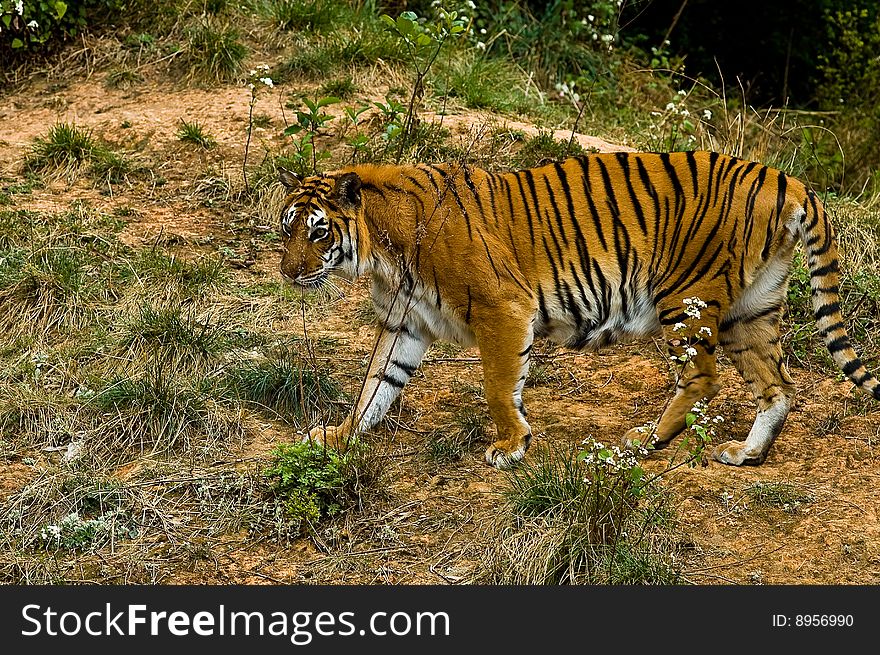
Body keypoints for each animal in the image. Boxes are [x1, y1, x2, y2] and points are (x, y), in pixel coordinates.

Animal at [276, 150, 880, 466]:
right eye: (287, 229)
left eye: (318, 231)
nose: (288, 272)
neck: (381, 251)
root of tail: (786, 177)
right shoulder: (404, 322)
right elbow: (376, 384)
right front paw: (339, 437)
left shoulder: (502, 307)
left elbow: (499, 385)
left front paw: (510, 445)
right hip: (750, 311)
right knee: (777, 385)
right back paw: (745, 454)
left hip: (685, 298)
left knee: (703, 377)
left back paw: (647, 441)